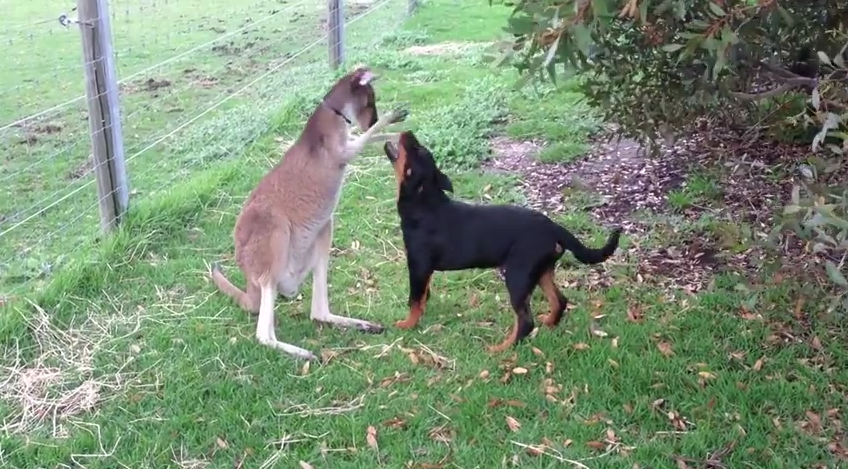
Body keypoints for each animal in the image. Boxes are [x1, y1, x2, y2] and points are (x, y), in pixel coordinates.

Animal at [384, 130, 624, 352]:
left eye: (415, 149)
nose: (408, 132)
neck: (425, 204)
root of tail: (553, 227)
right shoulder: (424, 270)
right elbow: (423, 295)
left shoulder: (418, 265)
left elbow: (415, 299)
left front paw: (407, 324)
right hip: (541, 271)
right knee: (559, 300)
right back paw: (549, 323)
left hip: (517, 275)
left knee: (526, 321)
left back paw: (501, 348)